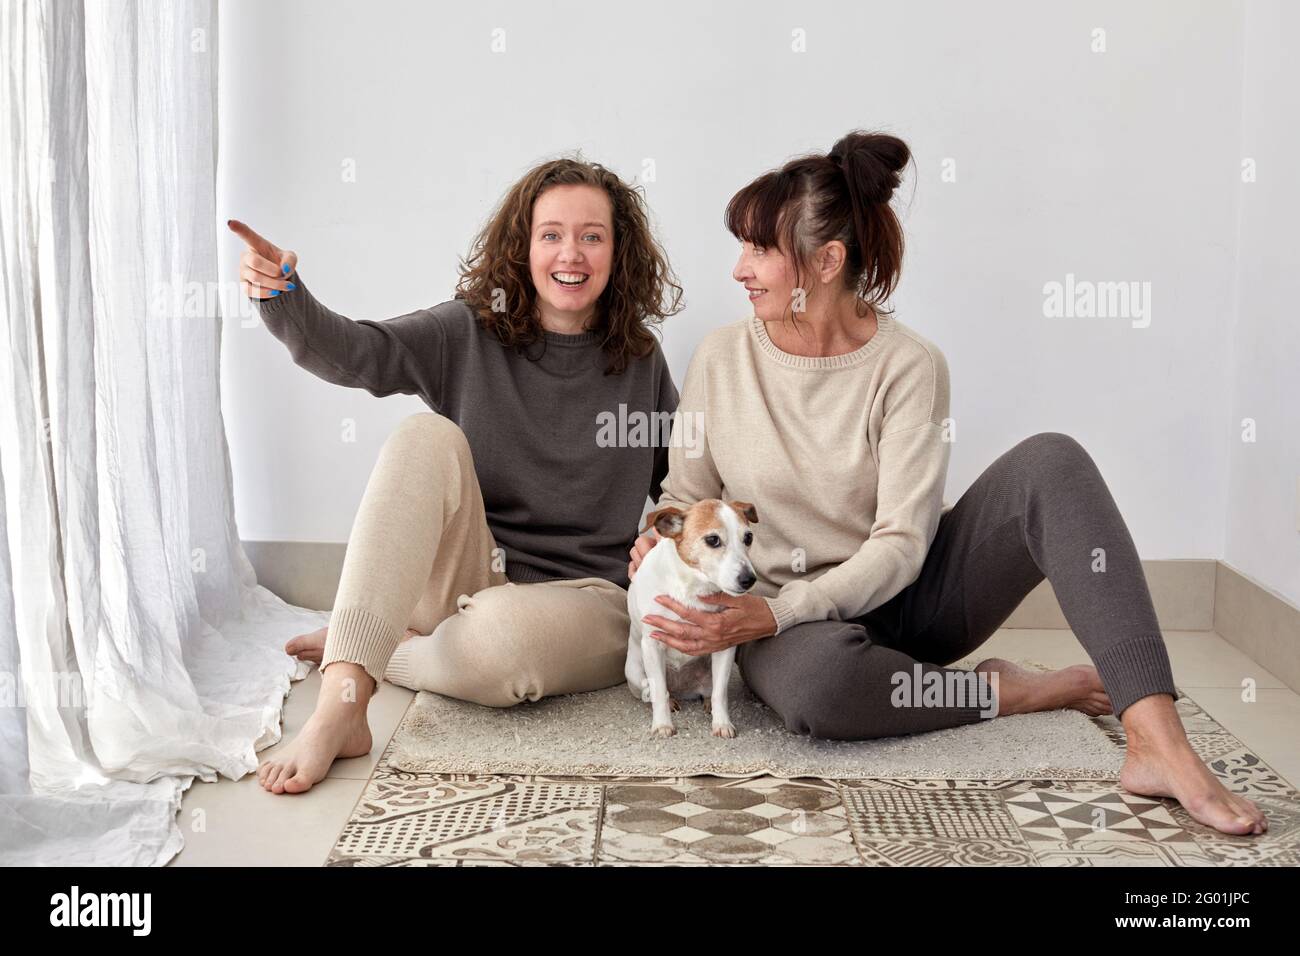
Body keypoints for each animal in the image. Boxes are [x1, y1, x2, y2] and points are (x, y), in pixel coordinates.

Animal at [624, 502, 759, 738]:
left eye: (748, 537)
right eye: (713, 540)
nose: (749, 579)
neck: (693, 587)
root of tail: (683, 689)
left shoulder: (724, 643)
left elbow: (720, 693)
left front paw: (722, 723)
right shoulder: (652, 643)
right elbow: (659, 691)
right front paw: (662, 724)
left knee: (709, 691)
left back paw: (707, 703)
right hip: (634, 673)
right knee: (653, 690)